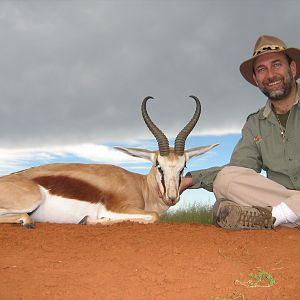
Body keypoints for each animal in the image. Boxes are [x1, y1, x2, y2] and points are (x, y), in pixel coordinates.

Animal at [0, 96, 217, 227]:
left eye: (183, 167)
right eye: (158, 166)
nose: (172, 197)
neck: (141, 187)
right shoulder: (118, 209)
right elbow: (152, 216)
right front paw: (87, 219)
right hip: (32, 199)